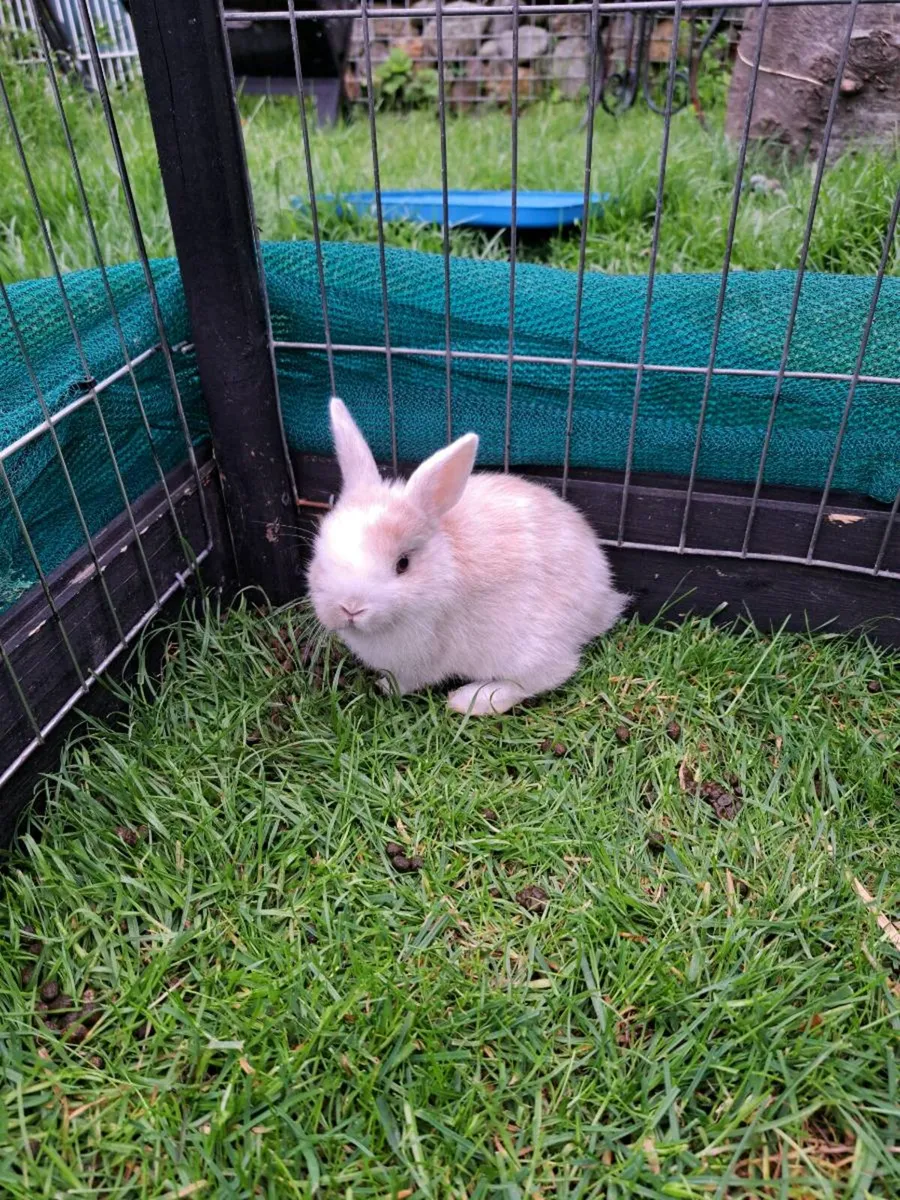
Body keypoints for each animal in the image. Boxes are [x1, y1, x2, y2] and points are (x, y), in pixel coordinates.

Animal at [307, 397, 629, 715]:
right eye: (320, 550)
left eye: (403, 564)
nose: (350, 607)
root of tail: (601, 601)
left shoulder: (421, 662)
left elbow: (408, 681)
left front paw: (386, 687)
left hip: (530, 648)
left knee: (549, 675)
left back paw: (470, 700)